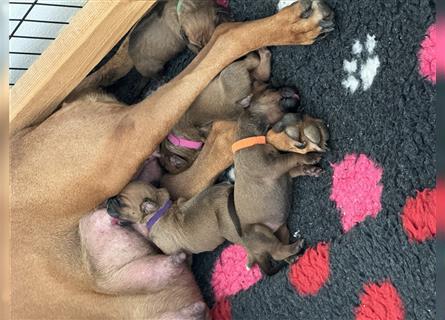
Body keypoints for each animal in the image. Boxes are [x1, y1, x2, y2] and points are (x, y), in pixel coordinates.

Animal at [106, 180, 300, 276]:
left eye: (120, 202)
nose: (107, 200)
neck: (159, 210)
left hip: (234, 231)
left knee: (269, 249)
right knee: (279, 233)